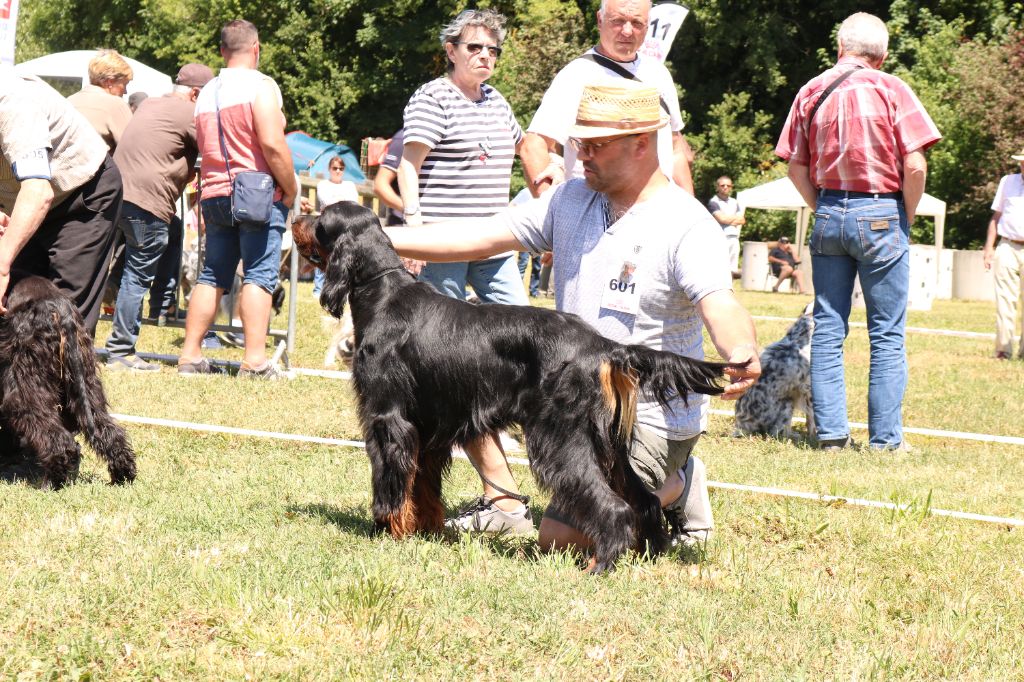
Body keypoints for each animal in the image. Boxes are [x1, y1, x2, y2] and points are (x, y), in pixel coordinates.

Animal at [0, 274, 137, 485]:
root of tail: (61, 310)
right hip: (85, 381)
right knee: (107, 429)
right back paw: (122, 475)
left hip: (25, 382)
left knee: (57, 439)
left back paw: (51, 482)